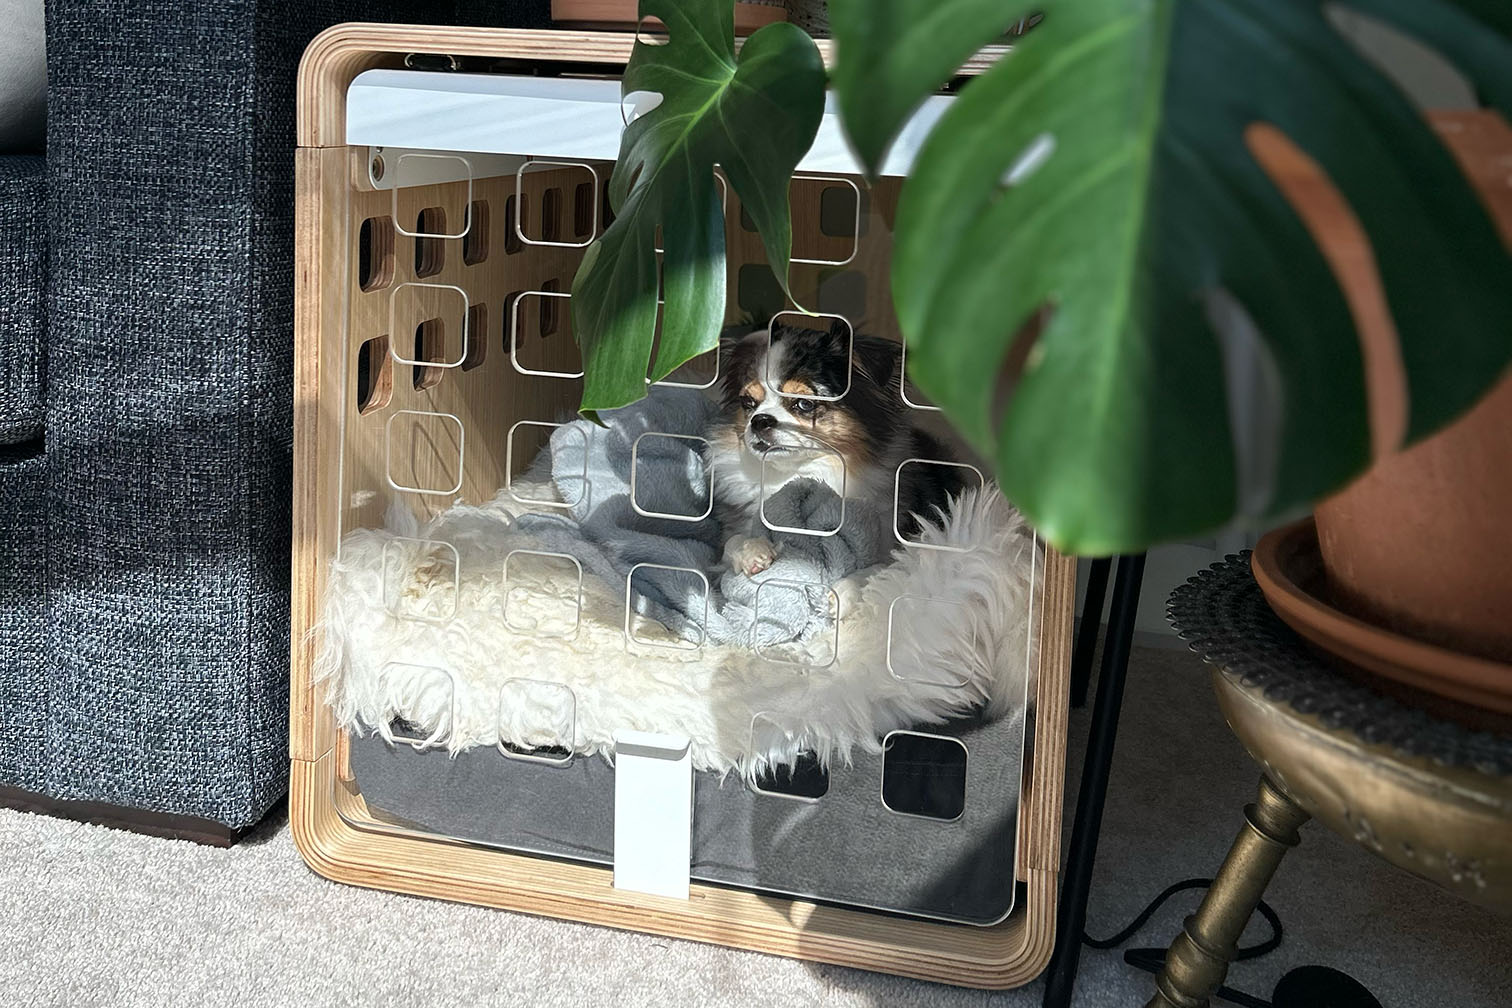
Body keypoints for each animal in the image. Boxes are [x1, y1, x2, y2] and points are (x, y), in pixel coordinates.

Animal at [701, 315, 961, 583]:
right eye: (748, 403)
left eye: (805, 404)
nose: (760, 420)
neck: (801, 472)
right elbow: (732, 541)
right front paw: (752, 550)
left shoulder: (890, 545)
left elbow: (872, 572)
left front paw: (844, 592)